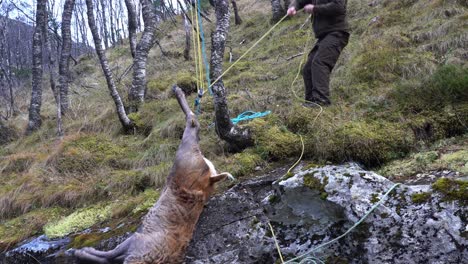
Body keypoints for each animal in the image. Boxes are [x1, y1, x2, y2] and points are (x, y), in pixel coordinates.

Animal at [73, 85, 232, 262]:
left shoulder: (134, 243)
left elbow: (108, 254)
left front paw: (81, 251)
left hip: (185, 153)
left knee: (191, 121)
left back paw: (178, 91)